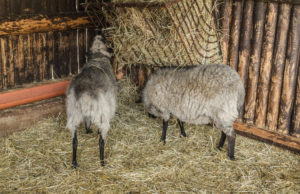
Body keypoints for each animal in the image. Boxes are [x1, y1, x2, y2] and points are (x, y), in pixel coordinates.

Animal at [66, 31, 117, 167]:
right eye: (105, 40)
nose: (99, 33)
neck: (98, 58)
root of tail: (83, 92)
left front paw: (88, 131)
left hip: (73, 114)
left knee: (74, 141)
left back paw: (74, 162)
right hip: (101, 114)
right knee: (101, 140)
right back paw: (102, 161)